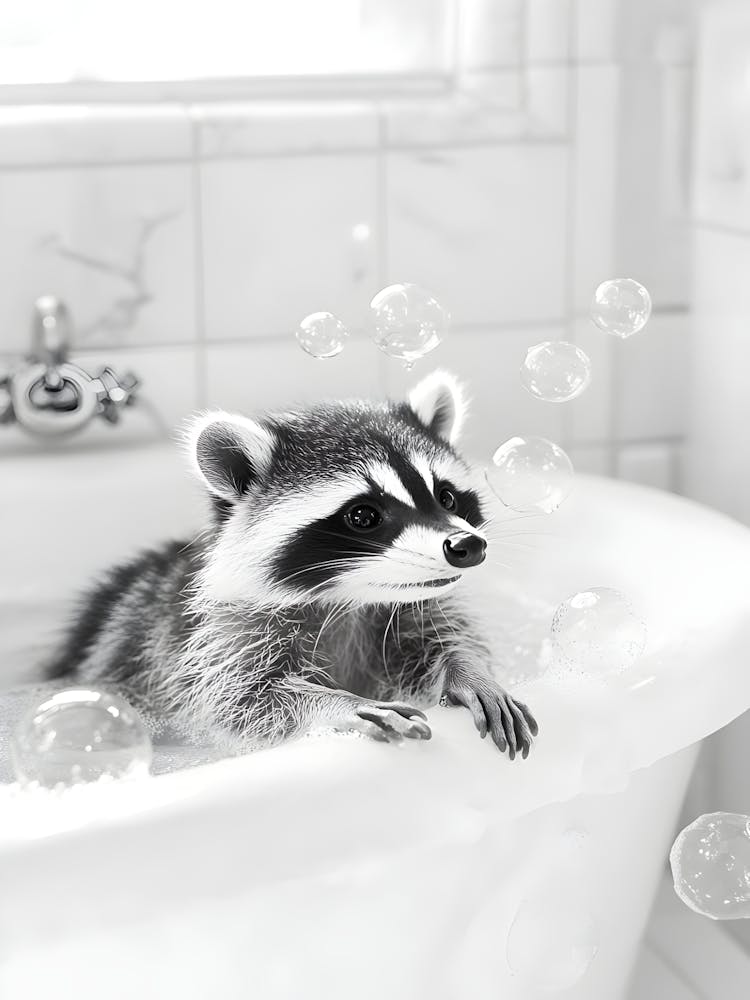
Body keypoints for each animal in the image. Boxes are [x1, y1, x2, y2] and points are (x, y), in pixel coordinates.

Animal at [46, 372, 538, 759]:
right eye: (363, 516)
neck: (348, 599)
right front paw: (333, 703)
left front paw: (467, 668)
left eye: (447, 497)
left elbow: (443, 636)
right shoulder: (209, 643)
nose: (466, 545)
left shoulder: (409, 610)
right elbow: (237, 702)